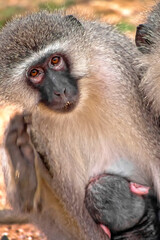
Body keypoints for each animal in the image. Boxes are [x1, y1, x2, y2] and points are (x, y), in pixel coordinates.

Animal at [0, 10, 160, 240]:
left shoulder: (117, 69)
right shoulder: (38, 126)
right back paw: (23, 169)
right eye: (35, 73)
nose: (60, 90)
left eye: (55, 60)